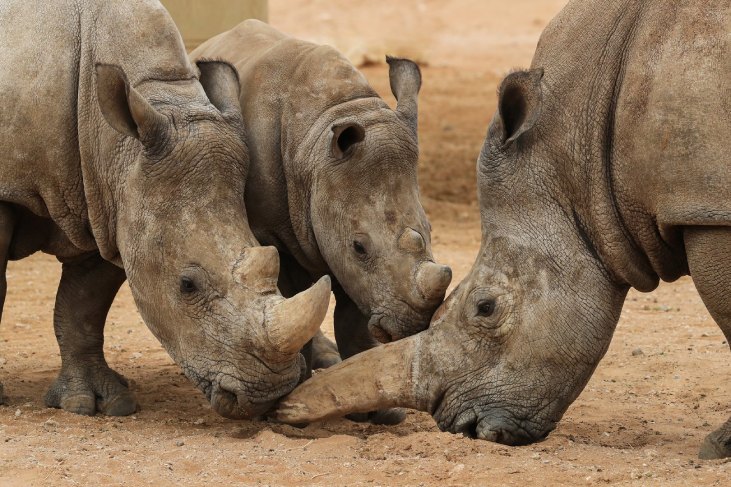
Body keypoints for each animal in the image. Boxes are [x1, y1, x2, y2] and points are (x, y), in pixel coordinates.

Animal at [191, 21, 452, 421]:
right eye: (359, 247)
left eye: (432, 230)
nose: (411, 327)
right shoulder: (274, 234)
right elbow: (290, 297)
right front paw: (289, 402)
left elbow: (351, 316)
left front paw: (378, 412)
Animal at [274, 0, 731, 459]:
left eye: (485, 307)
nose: (464, 428)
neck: (579, 160)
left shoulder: (707, 210)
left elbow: (727, 315)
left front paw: (717, 447)